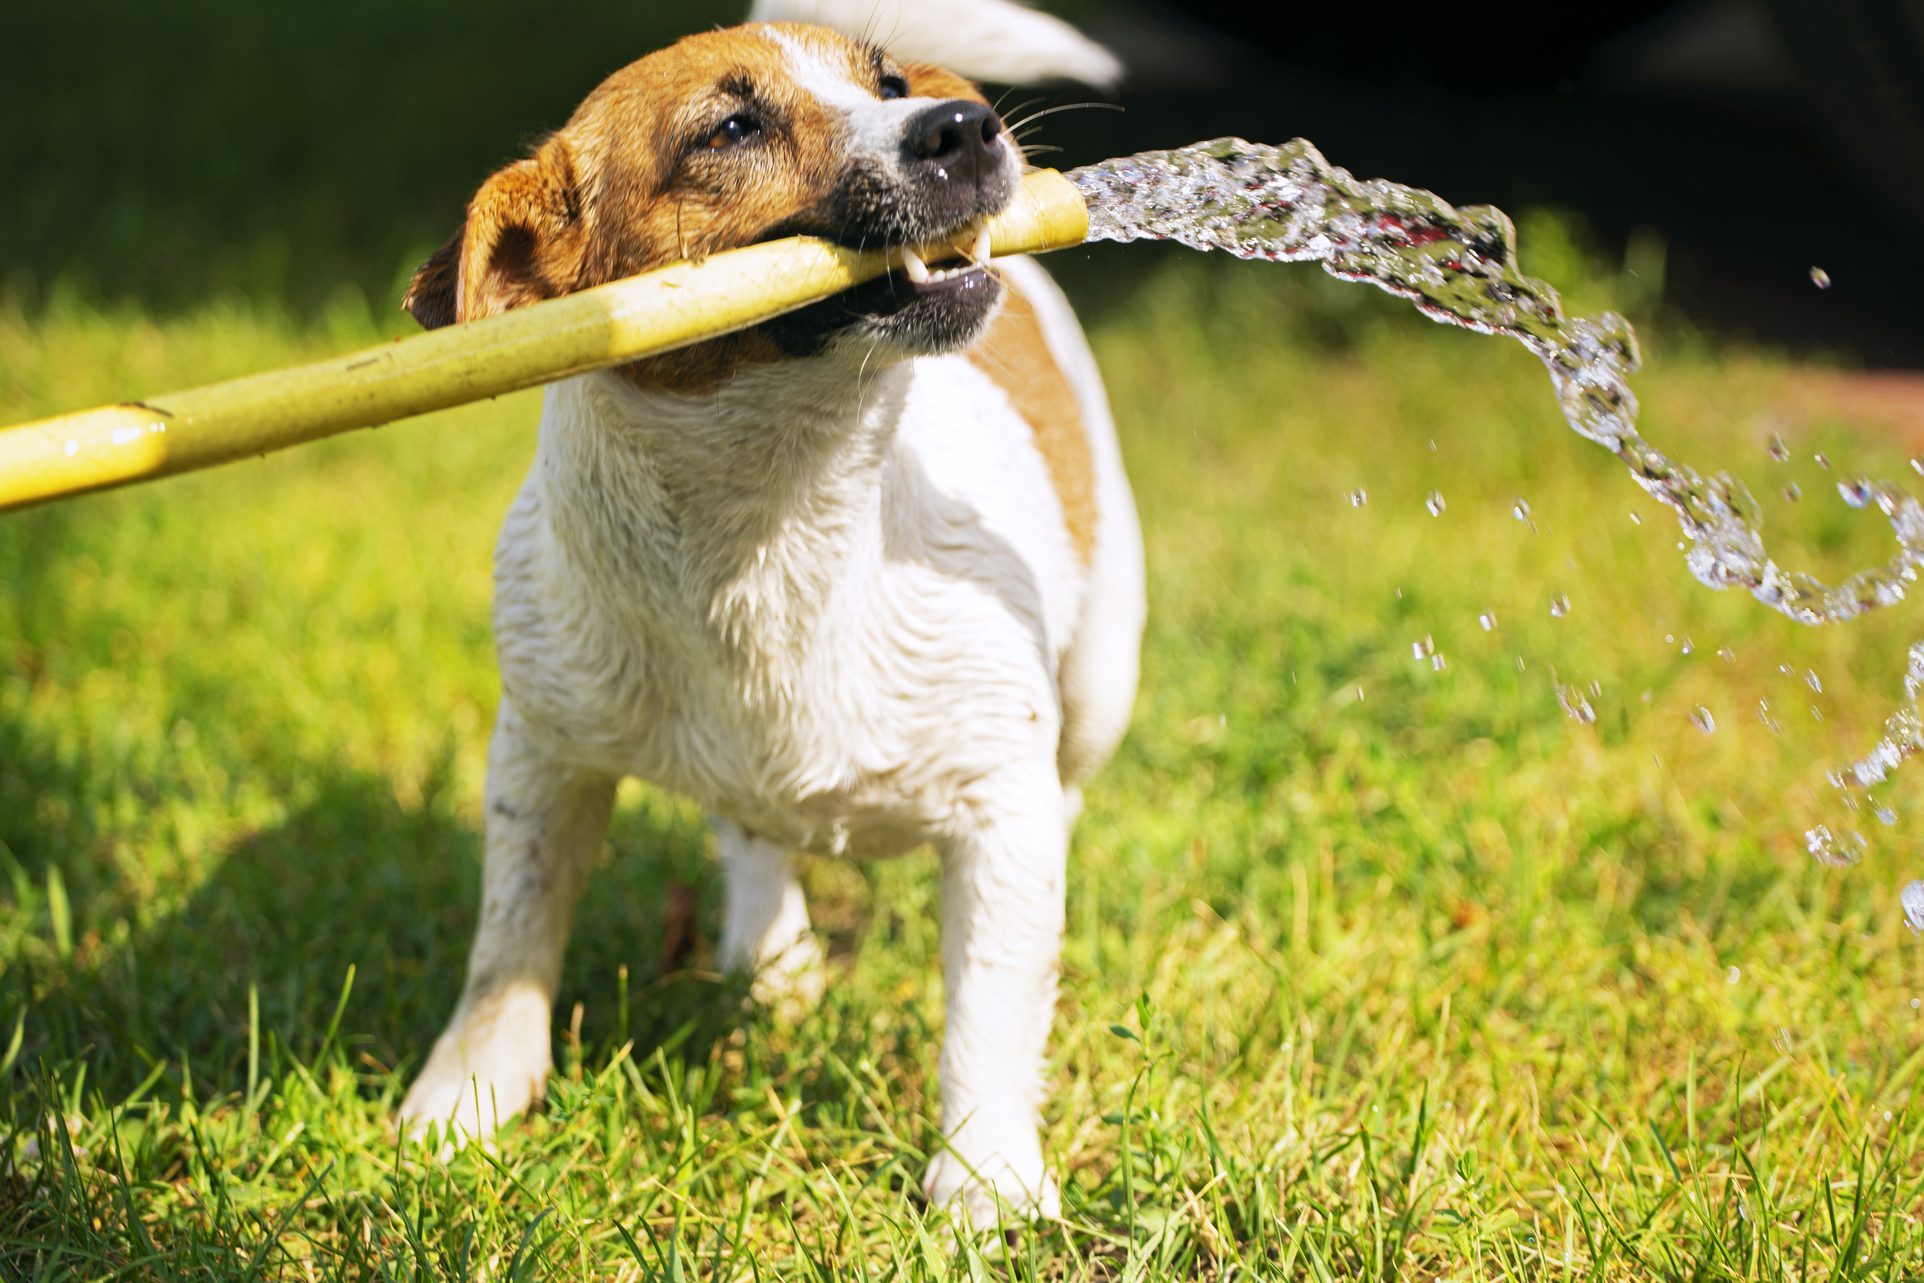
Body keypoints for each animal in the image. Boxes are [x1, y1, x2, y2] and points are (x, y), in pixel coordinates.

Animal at [392, 5, 1139, 1231]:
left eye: (889, 86)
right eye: (731, 128)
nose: (967, 125)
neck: (773, 523)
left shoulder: (1000, 806)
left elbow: (990, 997)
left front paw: (985, 1179)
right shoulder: (542, 753)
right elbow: (511, 935)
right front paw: (466, 1098)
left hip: (1098, 678)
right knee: (749, 835)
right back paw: (771, 953)